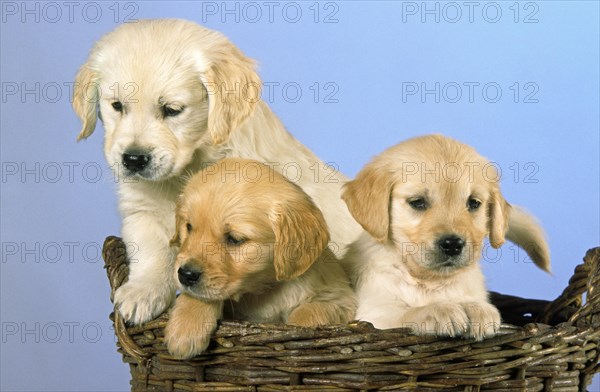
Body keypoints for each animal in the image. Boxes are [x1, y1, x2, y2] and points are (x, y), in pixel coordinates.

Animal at [70, 19, 360, 324]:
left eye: (172, 110)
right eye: (116, 105)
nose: (134, 159)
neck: (189, 166)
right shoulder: (141, 208)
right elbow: (150, 249)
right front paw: (142, 293)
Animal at [164, 158, 356, 358]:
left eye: (234, 239)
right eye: (189, 227)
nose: (186, 275)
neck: (262, 289)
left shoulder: (341, 300)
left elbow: (307, 313)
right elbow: (199, 296)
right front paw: (185, 327)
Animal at [340, 136, 552, 340]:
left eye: (473, 203)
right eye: (417, 202)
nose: (453, 245)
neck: (429, 281)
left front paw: (478, 309)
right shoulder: (374, 314)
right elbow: (406, 313)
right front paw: (439, 310)